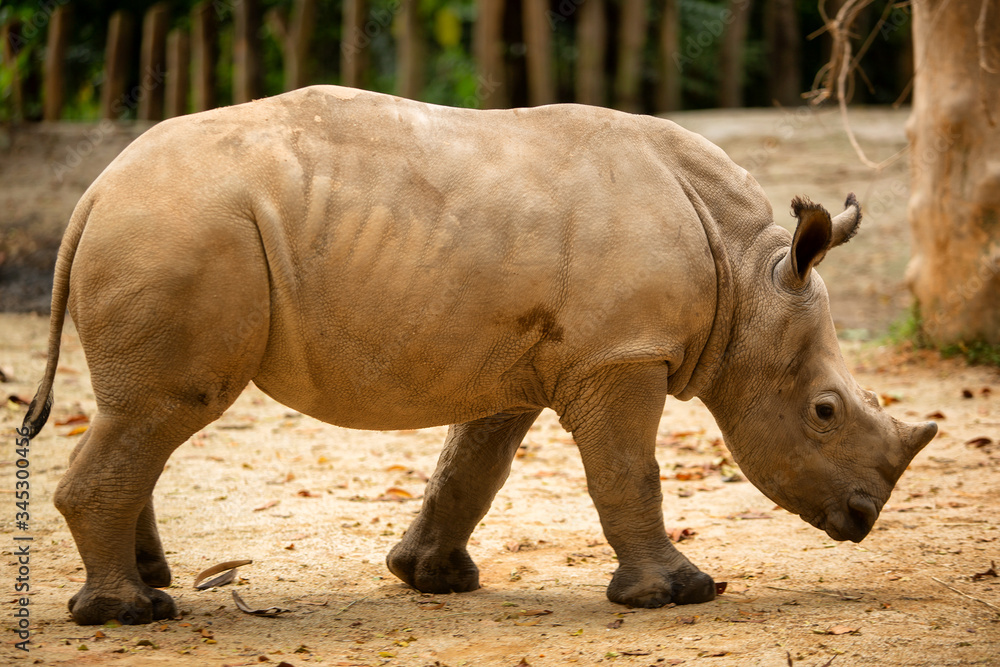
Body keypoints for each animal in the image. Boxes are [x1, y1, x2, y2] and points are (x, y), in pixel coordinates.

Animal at [21, 86, 937, 625]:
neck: (748, 275)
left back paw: (150, 583)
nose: (864, 518)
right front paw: (680, 593)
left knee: (143, 413)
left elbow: (472, 466)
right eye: (824, 411)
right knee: (165, 408)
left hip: (172, 228)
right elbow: (628, 471)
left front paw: (432, 578)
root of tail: (95, 191)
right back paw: (129, 613)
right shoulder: (620, 356)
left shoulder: (528, 359)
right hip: (178, 231)